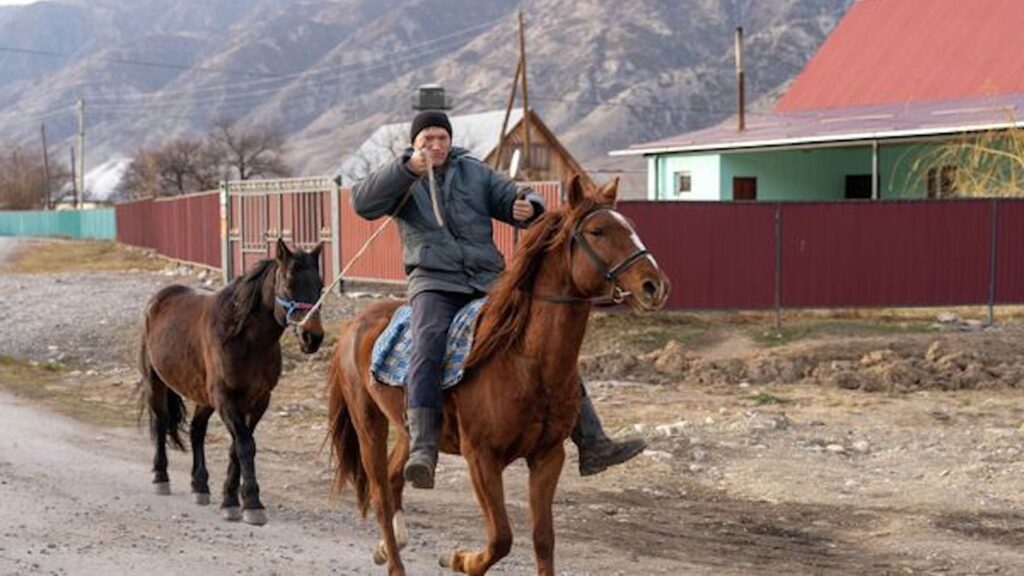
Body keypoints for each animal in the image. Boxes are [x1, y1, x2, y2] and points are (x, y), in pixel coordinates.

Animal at [140, 237, 323, 524]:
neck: (245, 339)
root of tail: (160, 298)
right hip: (156, 383)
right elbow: (245, 444)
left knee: (197, 430)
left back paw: (200, 485)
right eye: (289, 283)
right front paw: (252, 503)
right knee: (160, 423)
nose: (312, 337)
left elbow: (237, 447)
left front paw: (231, 499)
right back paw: (161, 476)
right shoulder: (226, 399)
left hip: (204, 396)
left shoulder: (258, 401)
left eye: (320, 285)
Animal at [323, 177, 667, 569]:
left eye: (631, 227)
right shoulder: (482, 459)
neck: (522, 361)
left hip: (407, 430)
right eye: (597, 231)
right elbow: (501, 538)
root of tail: (354, 325)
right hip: (368, 425)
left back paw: (389, 542)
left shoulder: (548, 457)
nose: (654, 285)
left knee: (396, 479)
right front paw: (458, 559)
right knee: (381, 495)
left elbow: (543, 539)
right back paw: (394, 560)